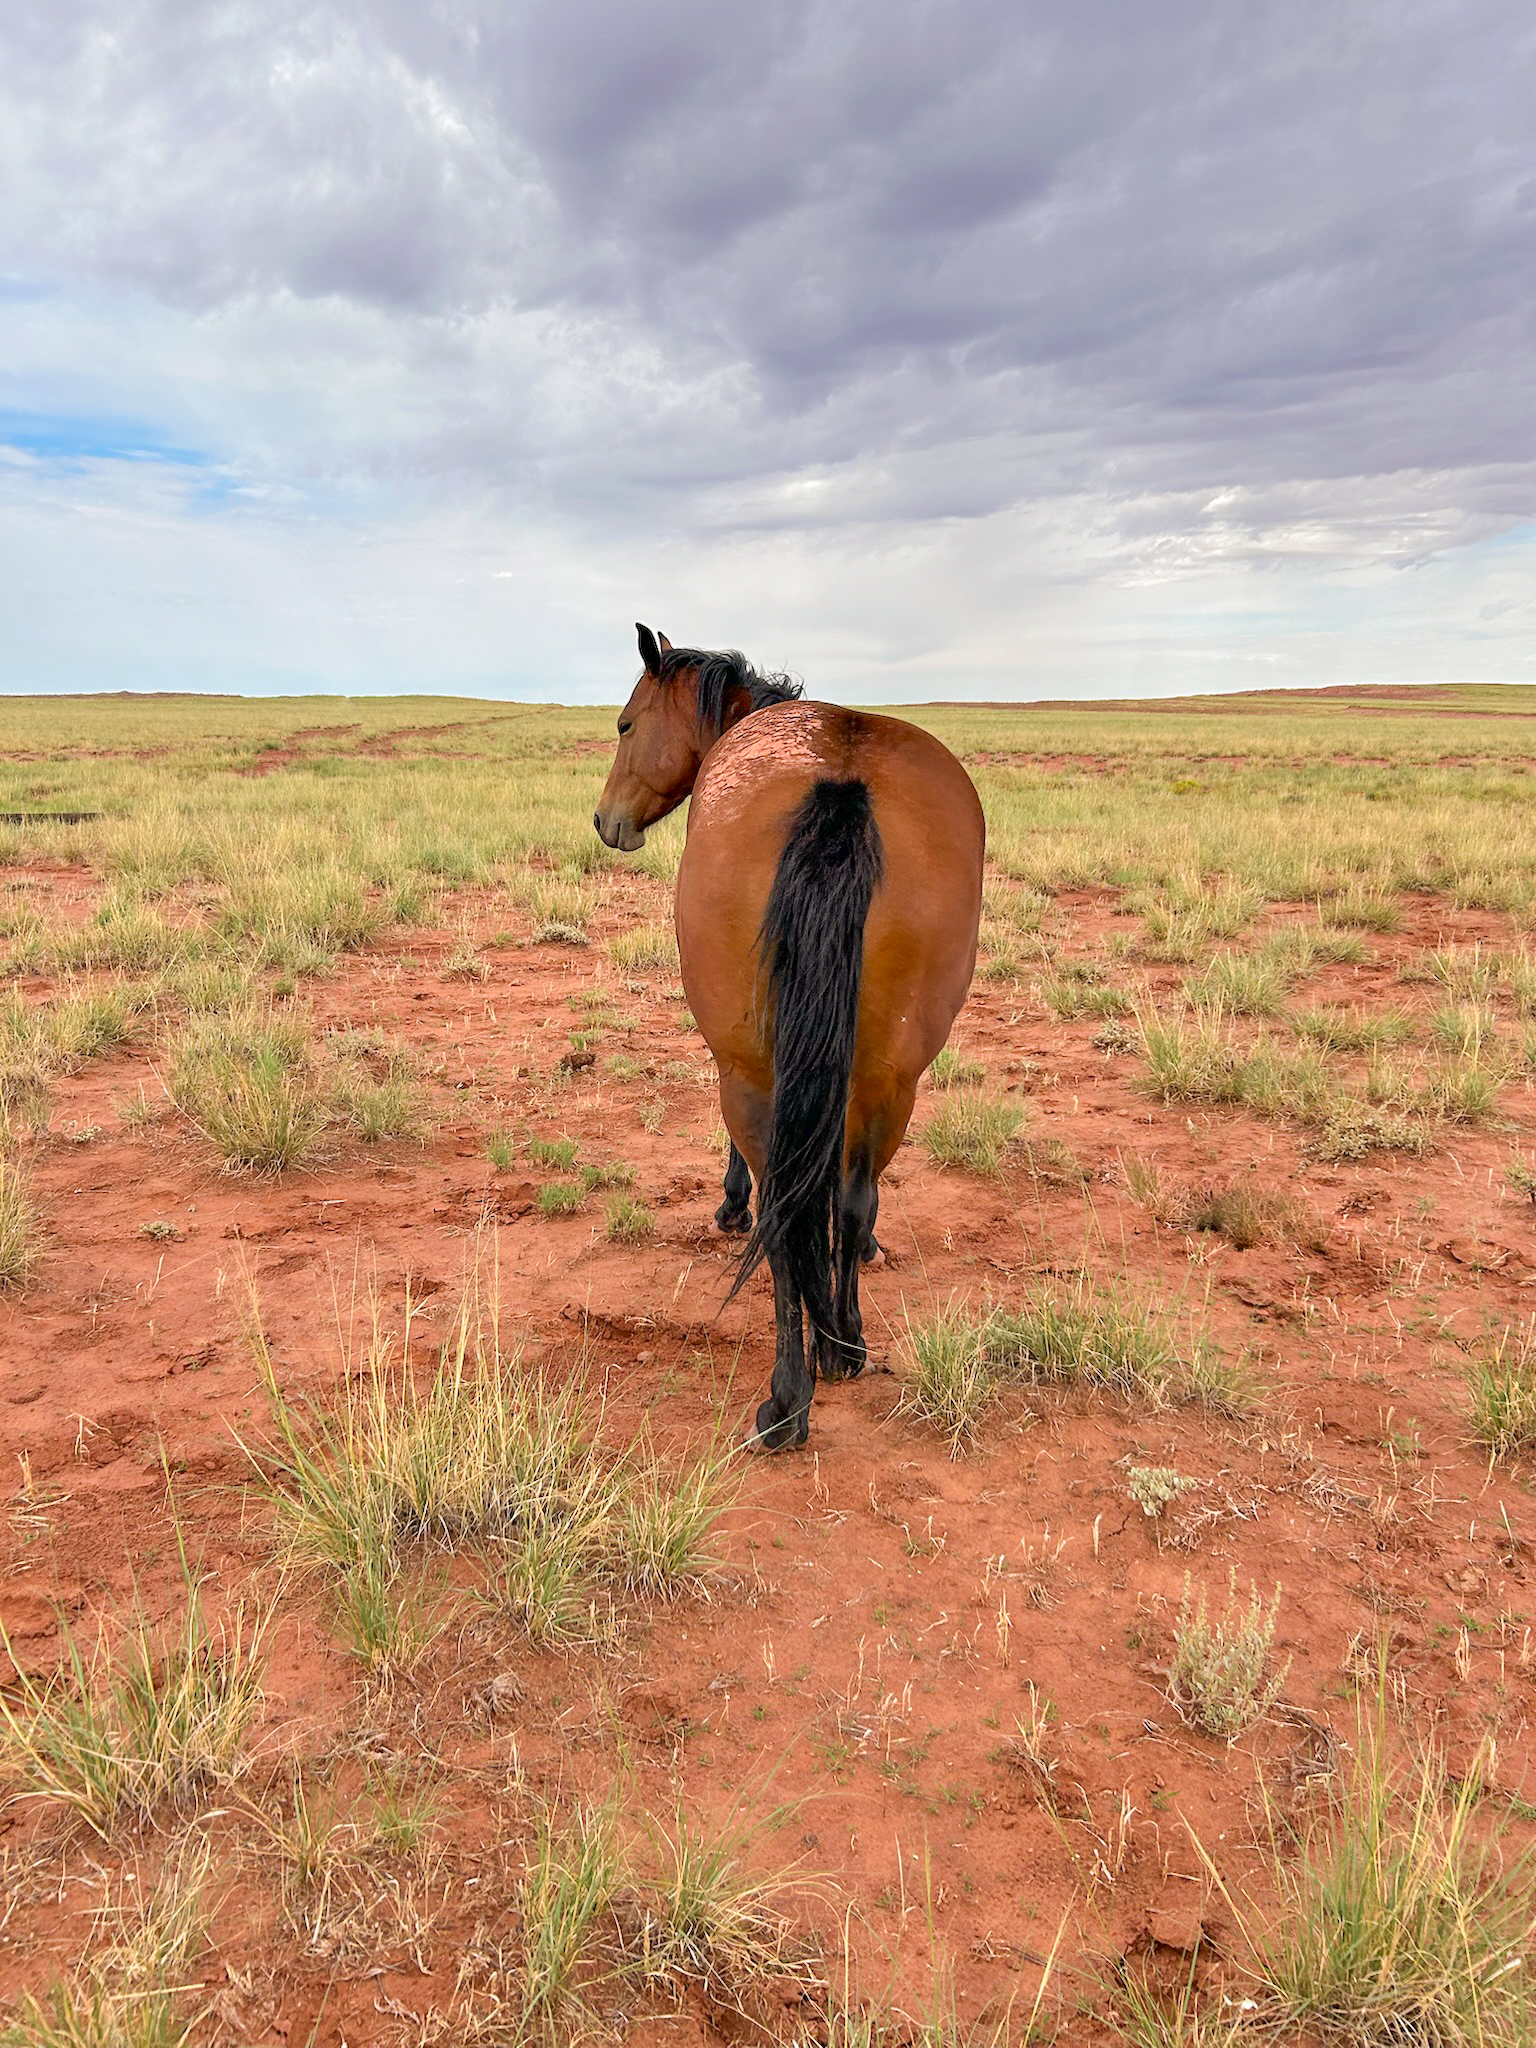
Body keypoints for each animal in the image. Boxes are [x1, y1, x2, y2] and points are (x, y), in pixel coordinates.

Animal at [594, 624, 985, 1448]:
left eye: (625, 724)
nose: (606, 822)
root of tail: (840, 783)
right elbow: (840, 1187)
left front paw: (729, 1203)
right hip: (892, 1076)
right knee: (853, 1196)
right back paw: (843, 1344)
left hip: (748, 1072)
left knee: (782, 1216)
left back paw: (788, 1398)